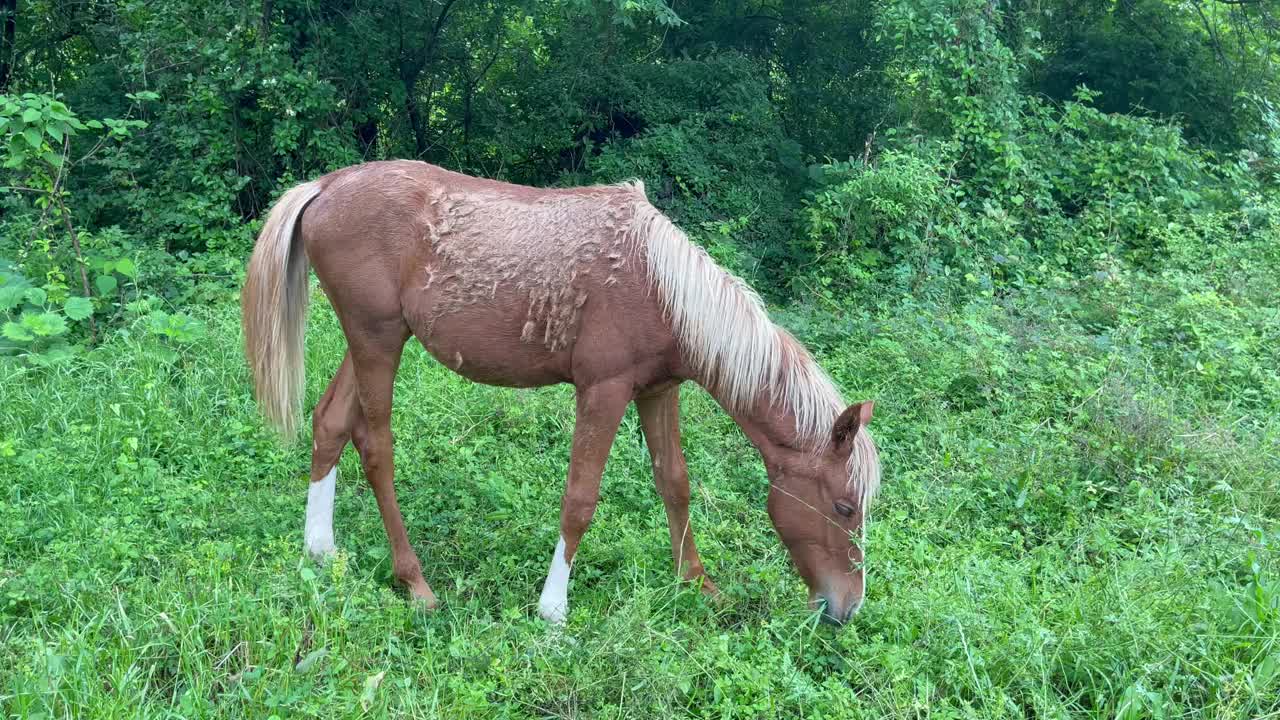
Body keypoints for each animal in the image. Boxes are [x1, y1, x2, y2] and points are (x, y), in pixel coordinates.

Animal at [240, 156, 880, 622]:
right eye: (844, 507)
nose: (848, 607)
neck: (662, 287)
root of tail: (325, 185)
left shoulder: (658, 391)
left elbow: (675, 484)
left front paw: (698, 584)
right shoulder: (603, 391)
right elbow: (580, 500)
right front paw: (553, 610)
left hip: (373, 339)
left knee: (329, 421)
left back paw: (320, 549)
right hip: (377, 341)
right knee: (375, 446)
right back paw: (414, 581)